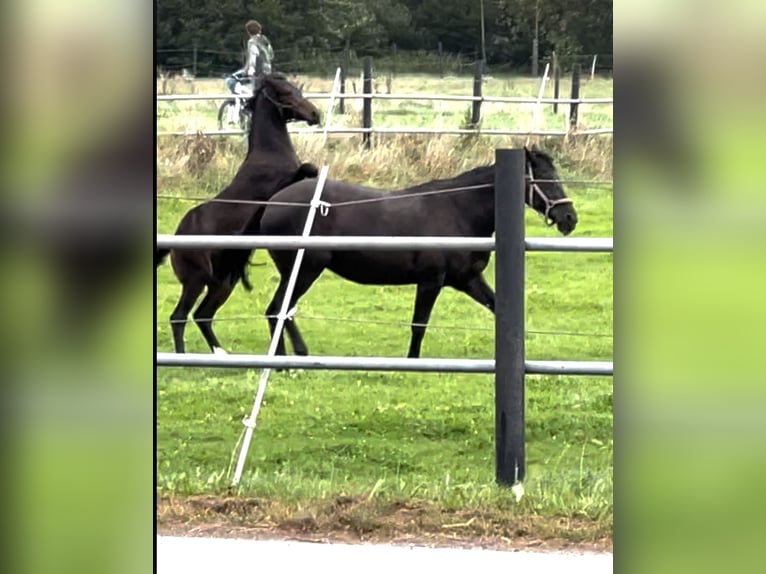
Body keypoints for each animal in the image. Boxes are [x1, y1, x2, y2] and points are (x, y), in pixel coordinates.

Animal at [154, 73, 322, 356]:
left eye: (297, 89)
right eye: (286, 93)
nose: (315, 114)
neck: (270, 154)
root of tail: (175, 240)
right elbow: (307, 170)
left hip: (223, 283)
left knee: (202, 314)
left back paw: (220, 353)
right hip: (195, 280)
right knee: (179, 316)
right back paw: (183, 356)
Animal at [249, 146, 580, 358]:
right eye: (544, 178)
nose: (569, 218)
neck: (460, 210)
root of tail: (274, 201)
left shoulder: (468, 280)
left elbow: (498, 308)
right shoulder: (431, 281)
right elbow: (419, 325)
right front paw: (412, 361)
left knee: (281, 311)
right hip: (303, 271)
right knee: (277, 309)